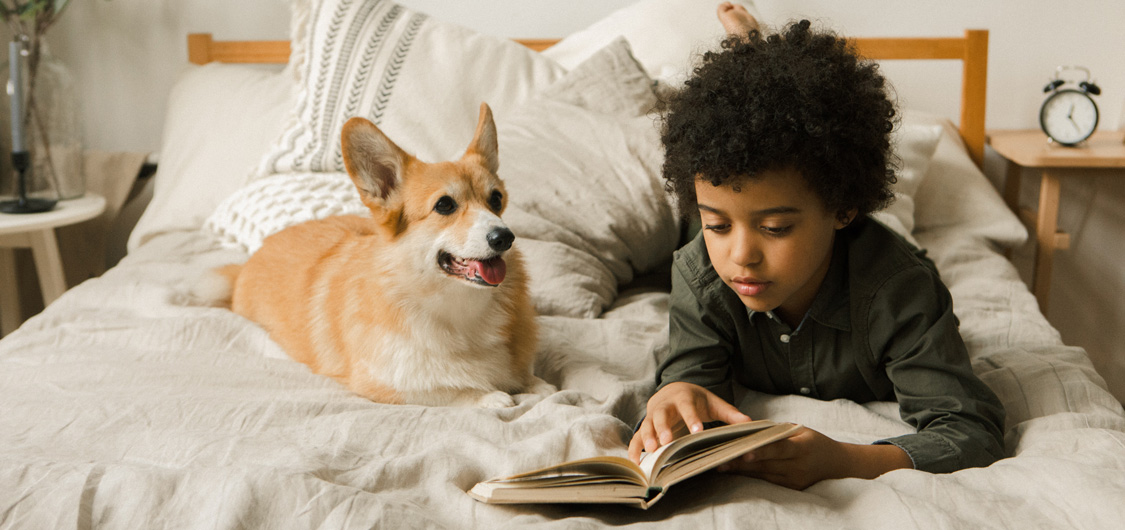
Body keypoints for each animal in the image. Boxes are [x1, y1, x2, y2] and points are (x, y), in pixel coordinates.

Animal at [219, 104, 553, 411]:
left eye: (496, 199)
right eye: (444, 205)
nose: (504, 237)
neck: (460, 308)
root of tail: (248, 262)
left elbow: (534, 379)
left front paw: (535, 386)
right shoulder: (383, 385)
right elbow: (447, 390)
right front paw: (490, 396)